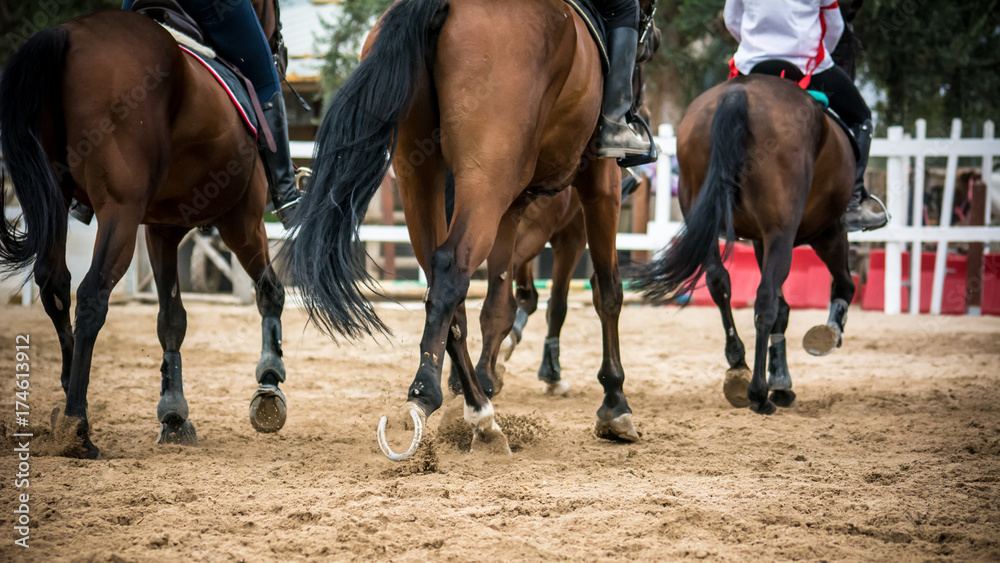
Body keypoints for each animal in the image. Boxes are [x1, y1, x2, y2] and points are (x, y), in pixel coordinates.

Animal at [0, 0, 289, 459]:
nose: (280, 51)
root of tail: (67, 35)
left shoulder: (162, 230)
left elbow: (171, 318)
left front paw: (173, 414)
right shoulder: (241, 218)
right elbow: (270, 291)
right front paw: (270, 382)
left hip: (58, 199)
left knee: (55, 286)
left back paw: (67, 398)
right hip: (122, 210)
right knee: (92, 295)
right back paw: (78, 427)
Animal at [288, 0, 659, 459]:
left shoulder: (512, 211)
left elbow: (499, 308)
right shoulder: (600, 182)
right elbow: (607, 292)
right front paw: (615, 405)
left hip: (422, 178)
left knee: (447, 288)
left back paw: (480, 412)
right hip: (487, 181)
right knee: (452, 271)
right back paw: (430, 395)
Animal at [631, 62, 862, 414]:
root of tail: (737, 94)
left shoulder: (760, 241)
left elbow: (782, 307)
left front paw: (781, 379)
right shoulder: (825, 232)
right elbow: (840, 286)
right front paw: (827, 334)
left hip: (706, 219)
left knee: (719, 282)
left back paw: (738, 366)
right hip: (788, 232)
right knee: (765, 299)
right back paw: (757, 392)